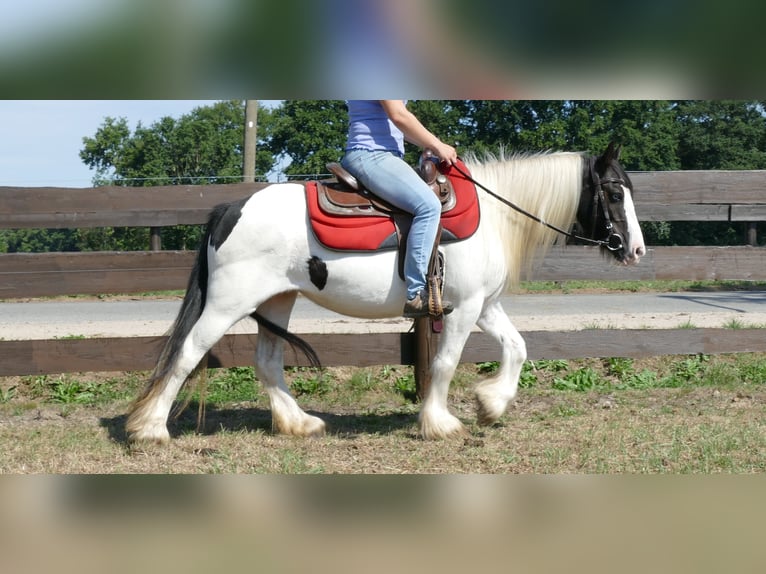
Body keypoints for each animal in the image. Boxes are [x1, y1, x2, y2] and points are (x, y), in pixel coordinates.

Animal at [127, 143, 648, 446]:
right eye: (614, 193)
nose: (637, 250)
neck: (496, 216)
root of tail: (230, 208)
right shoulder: (462, 310)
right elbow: (445, 363)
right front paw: (440, 422)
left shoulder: (484, 305)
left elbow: (518, 348)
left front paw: (491, 404)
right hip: (227, 304)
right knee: (187, 352)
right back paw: (150, 429)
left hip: (277, 300)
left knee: (268, 362)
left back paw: (299, 423)